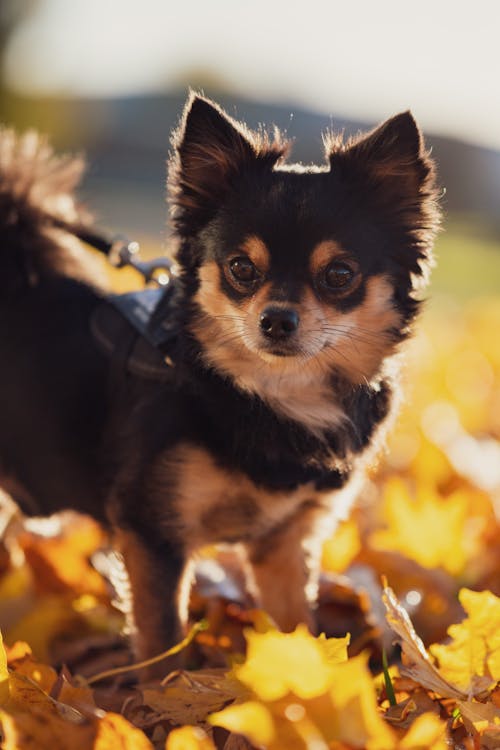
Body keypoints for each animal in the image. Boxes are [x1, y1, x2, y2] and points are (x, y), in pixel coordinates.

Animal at [0, 94, 438, 676]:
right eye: (241, 268)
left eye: (340, 275)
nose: (277, 320)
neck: (273, 397)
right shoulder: (152, 533)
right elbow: (163, 640)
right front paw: (166, 696)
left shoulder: (285, 546)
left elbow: (297, 626)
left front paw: (306, 682)